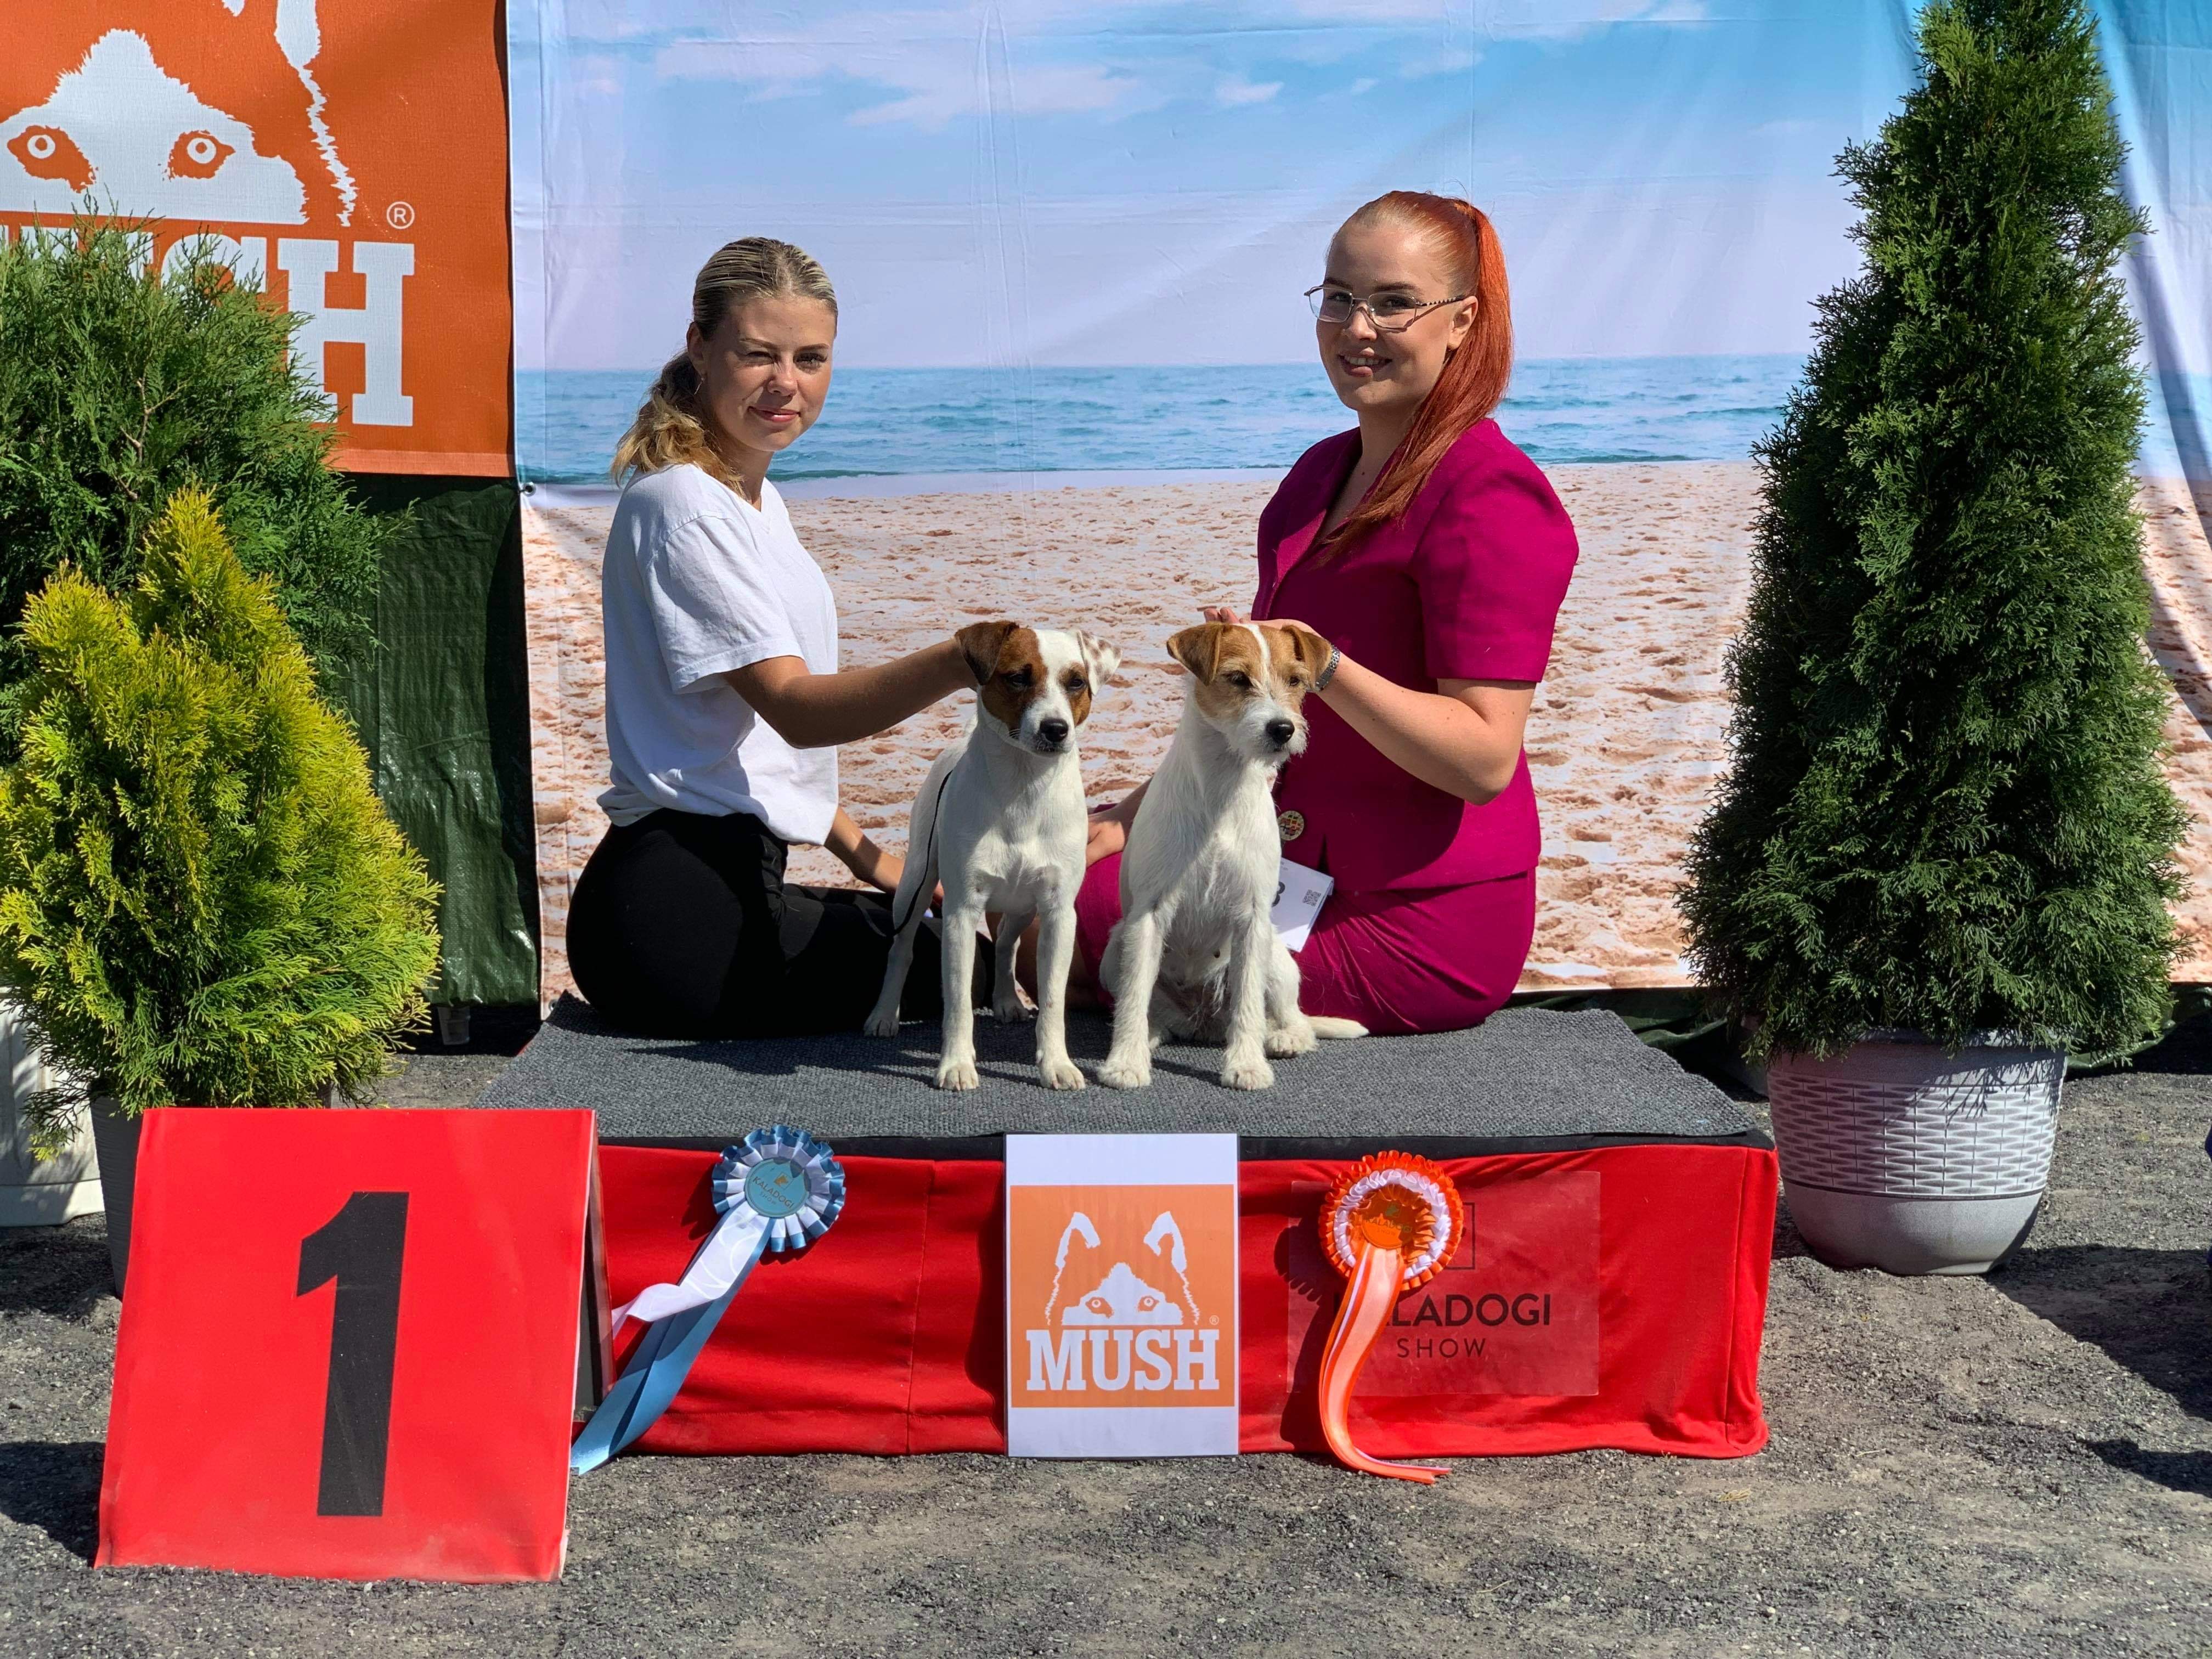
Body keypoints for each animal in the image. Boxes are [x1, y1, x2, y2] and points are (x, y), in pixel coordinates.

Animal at [866, 619, 1119, 1092]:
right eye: (1018, 677)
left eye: (1076, 682)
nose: (1056, 729)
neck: (1023, 789)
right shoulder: (961, 911)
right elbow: (958, 1000)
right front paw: (956, 1063)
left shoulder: (1058, 912)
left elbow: (1053, 1000)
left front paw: (1056, 1063)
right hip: (915, 883)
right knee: (901, 950)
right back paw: (884, 1014)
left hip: (1021, 906)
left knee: (1005, 944)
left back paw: (1006, 999)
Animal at [1097, 620, 1365, 1090]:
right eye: (1238, 678)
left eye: (1295, 681)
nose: (1283, 729)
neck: (1222, 788)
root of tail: (1204, 1021)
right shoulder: (1149, 915)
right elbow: (1132, 998)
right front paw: (1125, 1062)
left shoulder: (1251, 919)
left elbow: (1248, 1006)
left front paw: (1247, 1065)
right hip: (1116, 949)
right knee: (1148, 1005)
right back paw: (1149, 1035)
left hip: (1275, 957)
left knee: (1291, 1016)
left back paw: (1283, 1038)